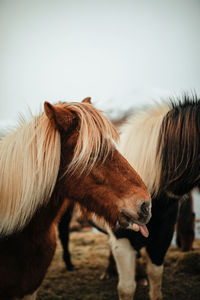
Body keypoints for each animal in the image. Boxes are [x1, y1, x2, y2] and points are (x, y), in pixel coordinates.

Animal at [57, 94, 200, 300]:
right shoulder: (122, 239)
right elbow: (126, 288)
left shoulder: (162, 236)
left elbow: (155, 277)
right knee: (64, 234)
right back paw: (70, 265)